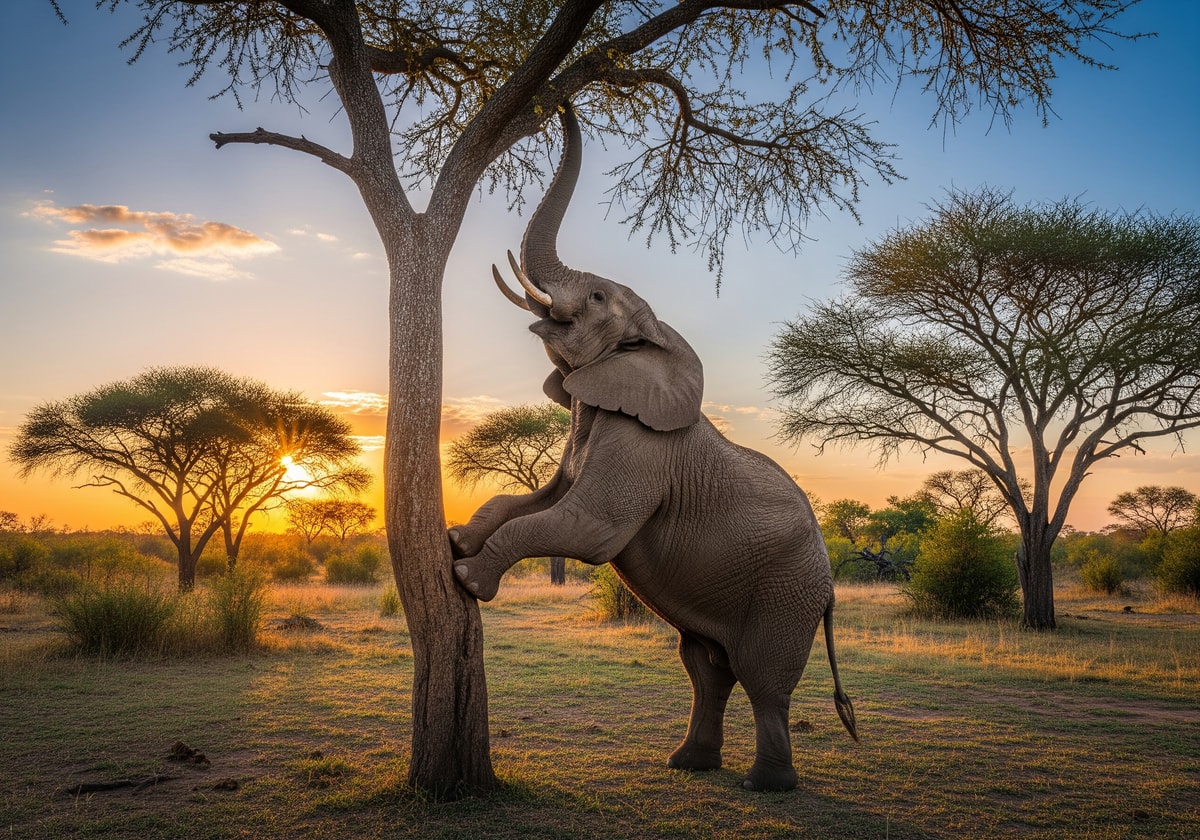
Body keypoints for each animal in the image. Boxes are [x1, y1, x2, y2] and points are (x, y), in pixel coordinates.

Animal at [449, 102, 858, 792]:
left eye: (594, 298)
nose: (561, 106)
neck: (656, 337)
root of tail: (828, 584)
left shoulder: (640, 444)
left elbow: (588, 528)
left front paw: (468, 579)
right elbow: (533, 502)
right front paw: (457, 539)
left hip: (787, 589)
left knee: (763, 679)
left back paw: (766, 784)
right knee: (707, 665)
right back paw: (690, 764)